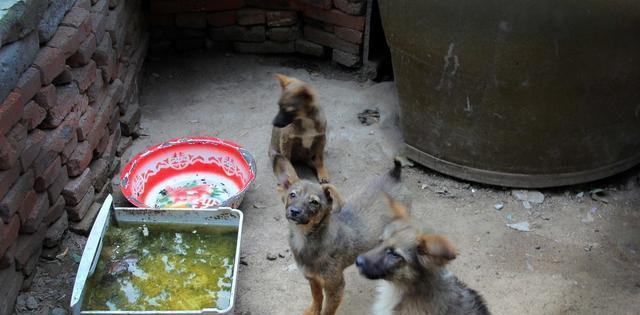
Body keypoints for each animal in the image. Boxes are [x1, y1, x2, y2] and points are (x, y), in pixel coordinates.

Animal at [272, 157, 410, 315]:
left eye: (314, 202)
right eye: (292, 195)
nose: (294, 211)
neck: (304, 238)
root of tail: (394, 175)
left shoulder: (335, 286)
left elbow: (327, 311)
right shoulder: (312, 279)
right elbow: (317, 297)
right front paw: (313, 311)